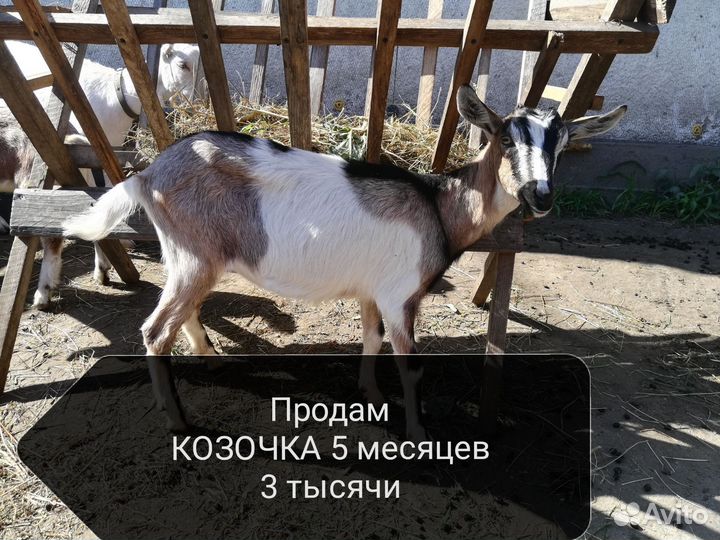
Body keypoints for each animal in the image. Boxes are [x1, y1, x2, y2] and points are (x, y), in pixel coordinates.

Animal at [63, 86, 626, 441]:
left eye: (563, 144)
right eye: (507, 138)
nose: (540, 195)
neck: (439, 206)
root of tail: (147, 173)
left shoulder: (374, 292)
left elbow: (371, 340)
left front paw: (369, 392)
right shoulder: (401, 295)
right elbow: (411, 364)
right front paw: (418, 431)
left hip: (193, 257)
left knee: (185, 312)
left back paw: (210, 357)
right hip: (194, 256)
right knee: (156, 329)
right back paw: (177, 421)